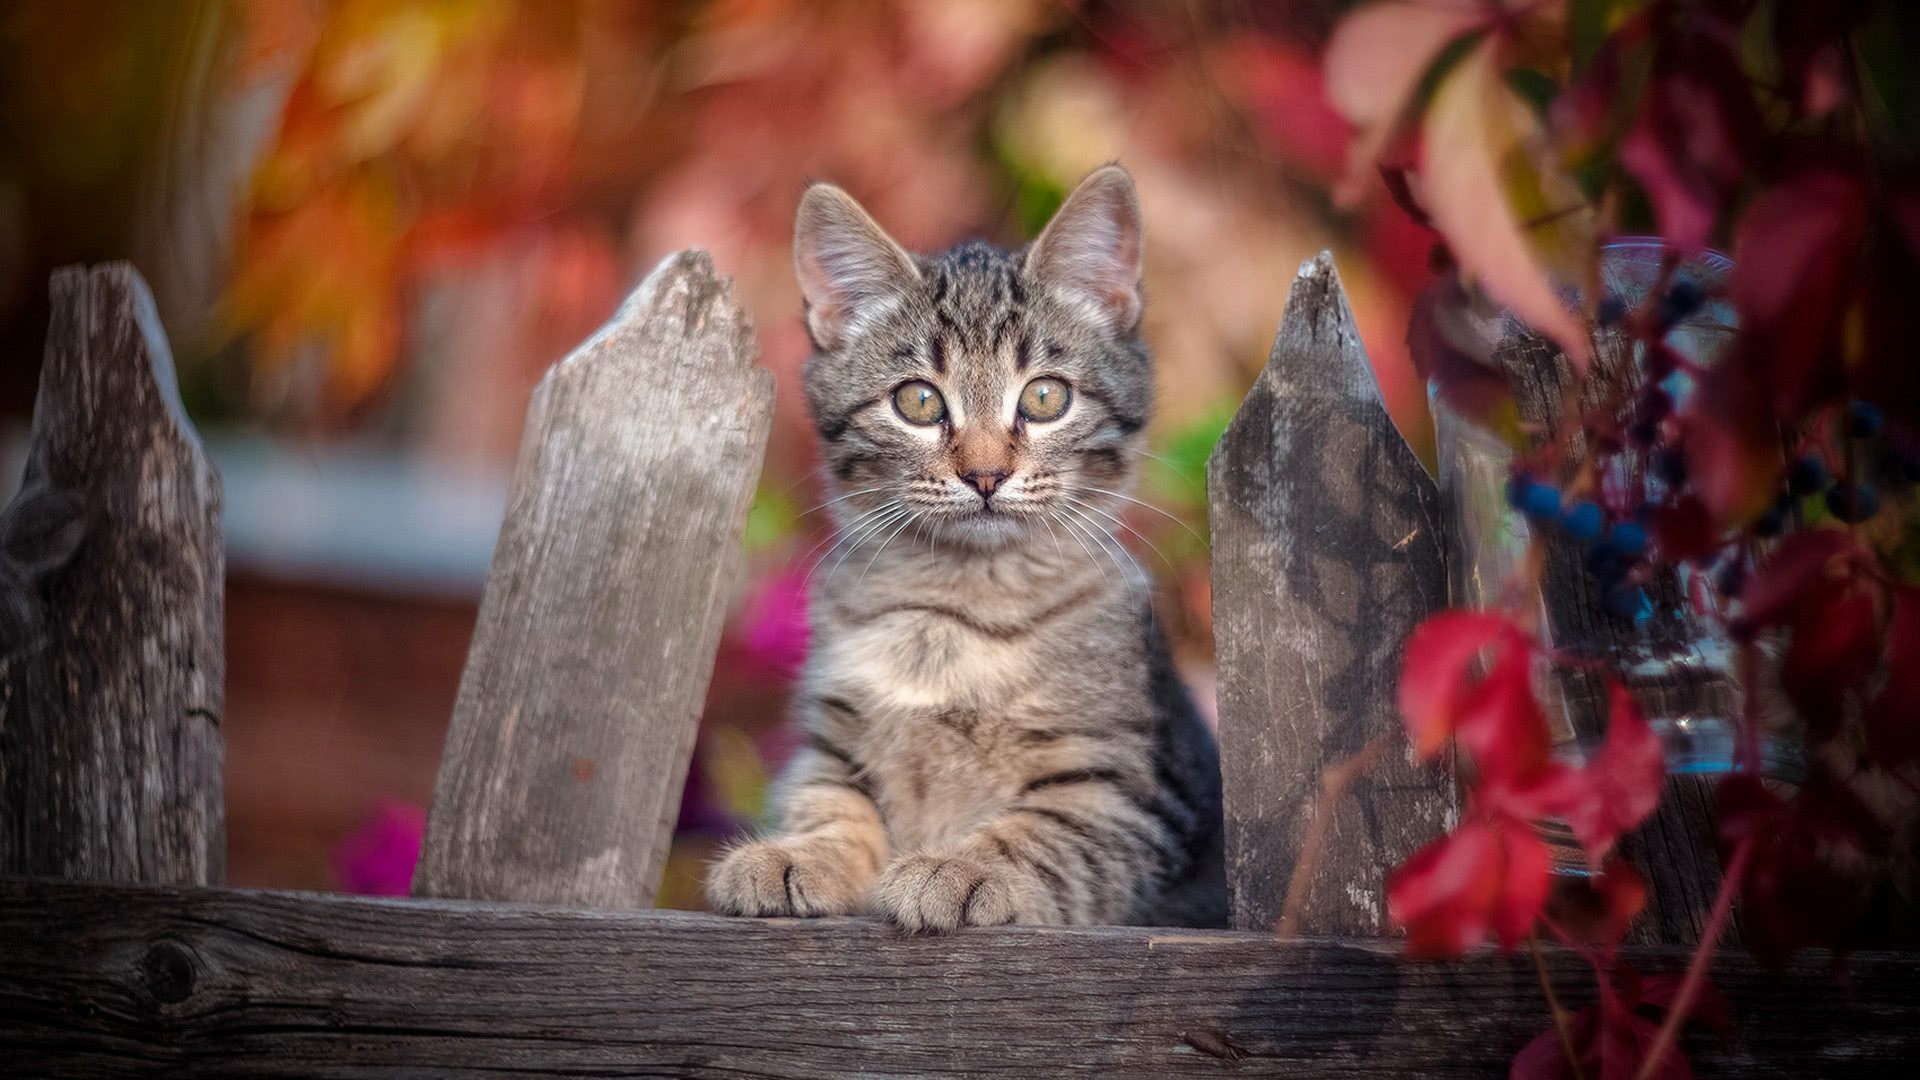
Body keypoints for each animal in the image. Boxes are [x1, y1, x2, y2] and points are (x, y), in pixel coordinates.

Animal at [710, 161, 1228, 926]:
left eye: (1044, 398)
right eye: (919, 402)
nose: (985, 474)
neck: (959, 607)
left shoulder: (1133, 791)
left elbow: (1044, 833)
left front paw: (961, 868)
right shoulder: (832, 744)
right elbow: (831, 801)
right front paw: (799, 854)